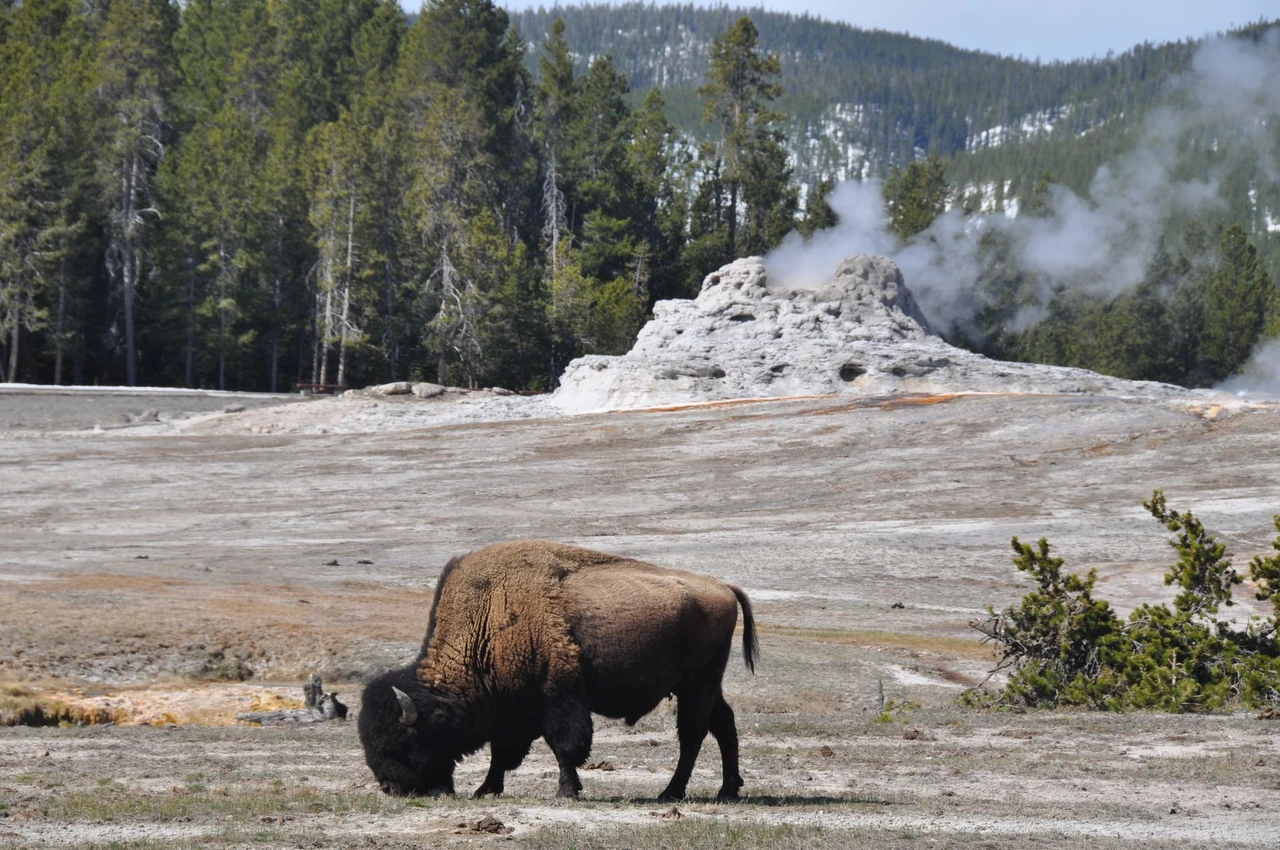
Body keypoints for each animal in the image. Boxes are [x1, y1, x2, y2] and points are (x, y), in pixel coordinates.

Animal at [358, 540, 759, 801]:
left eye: (401, 743)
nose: (391, 789)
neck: (490, 618)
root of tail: (723, 587)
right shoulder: (511, 711)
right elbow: (502, 754)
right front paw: (485, 790)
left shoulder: (558, 697)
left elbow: (564, 747)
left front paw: (566, 792)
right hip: (706, 686)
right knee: (723, 725)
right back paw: (726, 790)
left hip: (697, 684)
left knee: (693, 735)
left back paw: (670, 793)